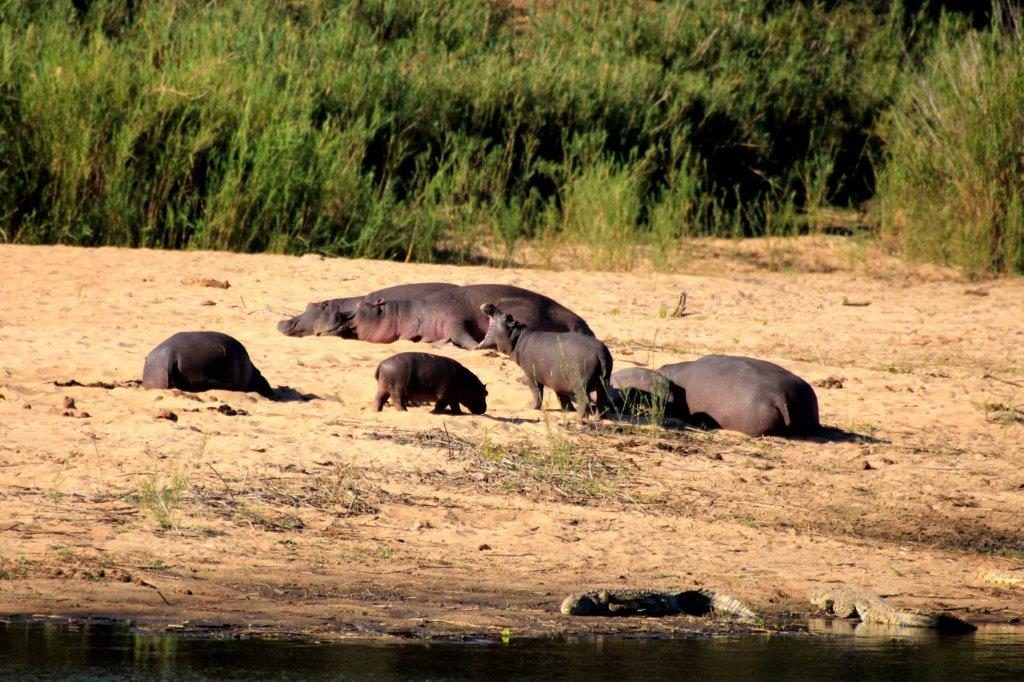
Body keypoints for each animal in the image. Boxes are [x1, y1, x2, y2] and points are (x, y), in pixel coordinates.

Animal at [339, 282, 593, 348]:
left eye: (361, 305)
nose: (342, 316)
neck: (406, 313)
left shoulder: (455, 319)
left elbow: (464, 336)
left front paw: (474, 347)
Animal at [477, 301, 610, 417]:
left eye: (506, 317)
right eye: (509, 315)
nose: (490, 304)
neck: (517, 338)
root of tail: (600, 353)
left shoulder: (531, 376)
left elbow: (536, 392)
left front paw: (531, 408)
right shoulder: (557, 381)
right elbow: (562, 396)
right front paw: (568, 410)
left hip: (580, 386)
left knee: (584, 400)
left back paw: (579, 419)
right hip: (603, 384)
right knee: (602, 401)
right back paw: (598, 418)